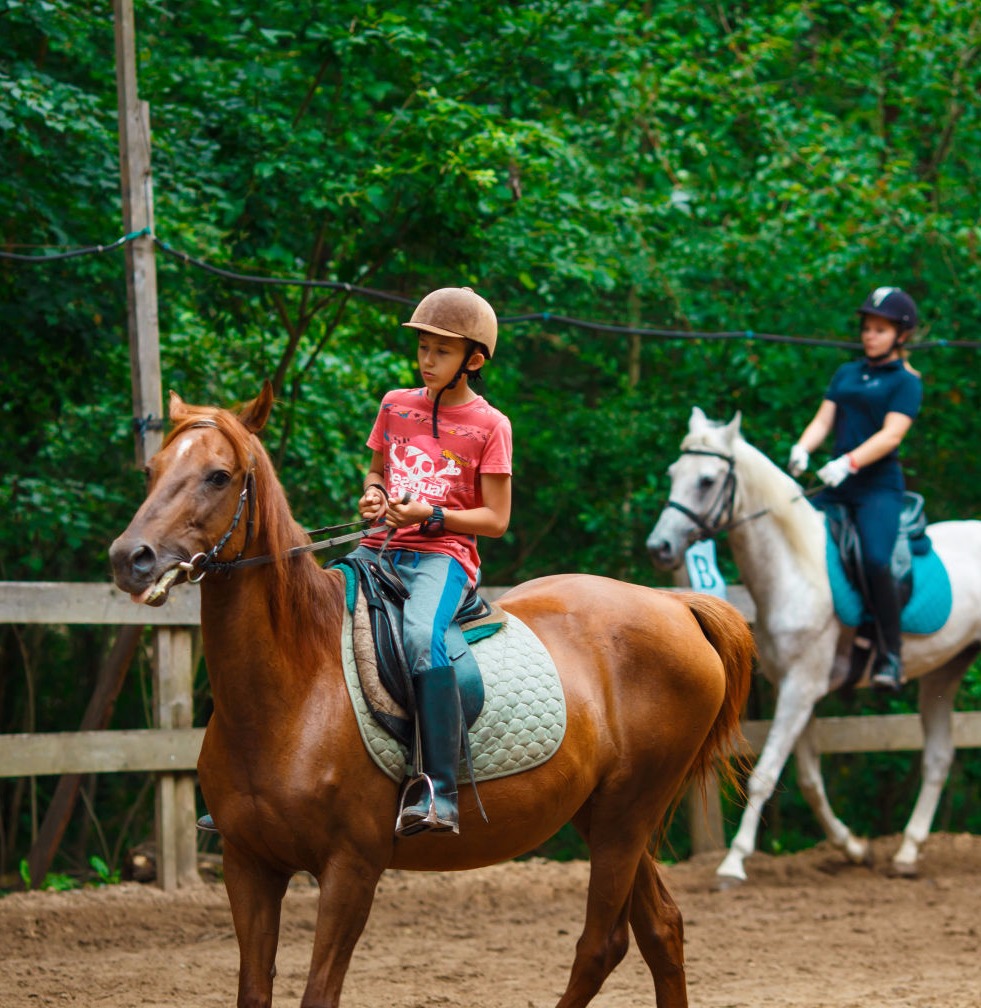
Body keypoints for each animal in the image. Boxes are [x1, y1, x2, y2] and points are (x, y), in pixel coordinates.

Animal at [108, 379, 750, 1008]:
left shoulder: (351, 869)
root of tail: (674, 607)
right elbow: (252, 989)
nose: (129, 558)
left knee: (602, 944)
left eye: (218, 476)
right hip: (605, 815)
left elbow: (320, 991)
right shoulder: (249, 866)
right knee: (661, 930)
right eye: (151, 469)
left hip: (627, 814)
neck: (294, 690)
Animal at [641, 407, 979, 883]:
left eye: (706, 480)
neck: (795, 567)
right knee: (937, 757)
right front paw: (852, 847)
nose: (660, 547)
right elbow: (808, 778)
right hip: (943, 671)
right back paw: (907, 853)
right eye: (674, 473)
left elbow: (765, 774)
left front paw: (733, 863)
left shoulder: (801, 688)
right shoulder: (795, 687)